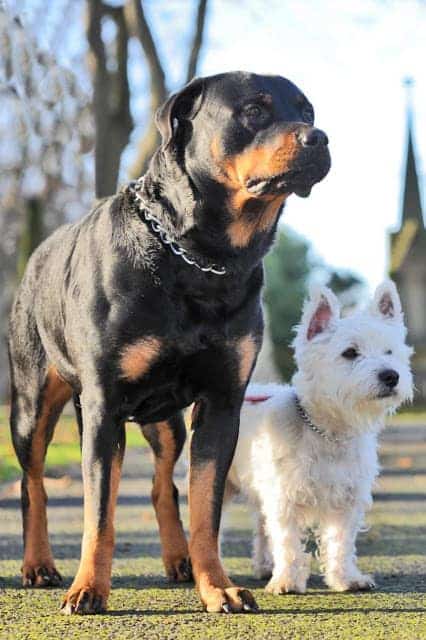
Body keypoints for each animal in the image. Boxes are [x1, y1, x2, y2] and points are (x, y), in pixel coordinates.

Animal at [8, 71, 332, 616]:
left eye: (308, 111)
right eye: (255, 111)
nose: (319, 137)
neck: (201, 258)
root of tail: (37, 255)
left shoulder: (221, 403)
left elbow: (205, 507)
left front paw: (217, 586)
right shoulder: (103, 406)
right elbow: (100, 512)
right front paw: (88, 589)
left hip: (166, 420)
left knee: (164, 483)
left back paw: (178, 561)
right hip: (33, 404)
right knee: (33, 483)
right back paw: (39, 566)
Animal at [225, 280, 412, 596]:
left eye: (390, 351)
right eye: (350, 352)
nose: (391, 376)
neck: (329, 432)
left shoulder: (346, 501)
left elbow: (340, 543)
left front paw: (345, 579)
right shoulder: (283, 497)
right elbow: (287, 542)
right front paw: (287, 581)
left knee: (261, 526)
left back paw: (265, 566)